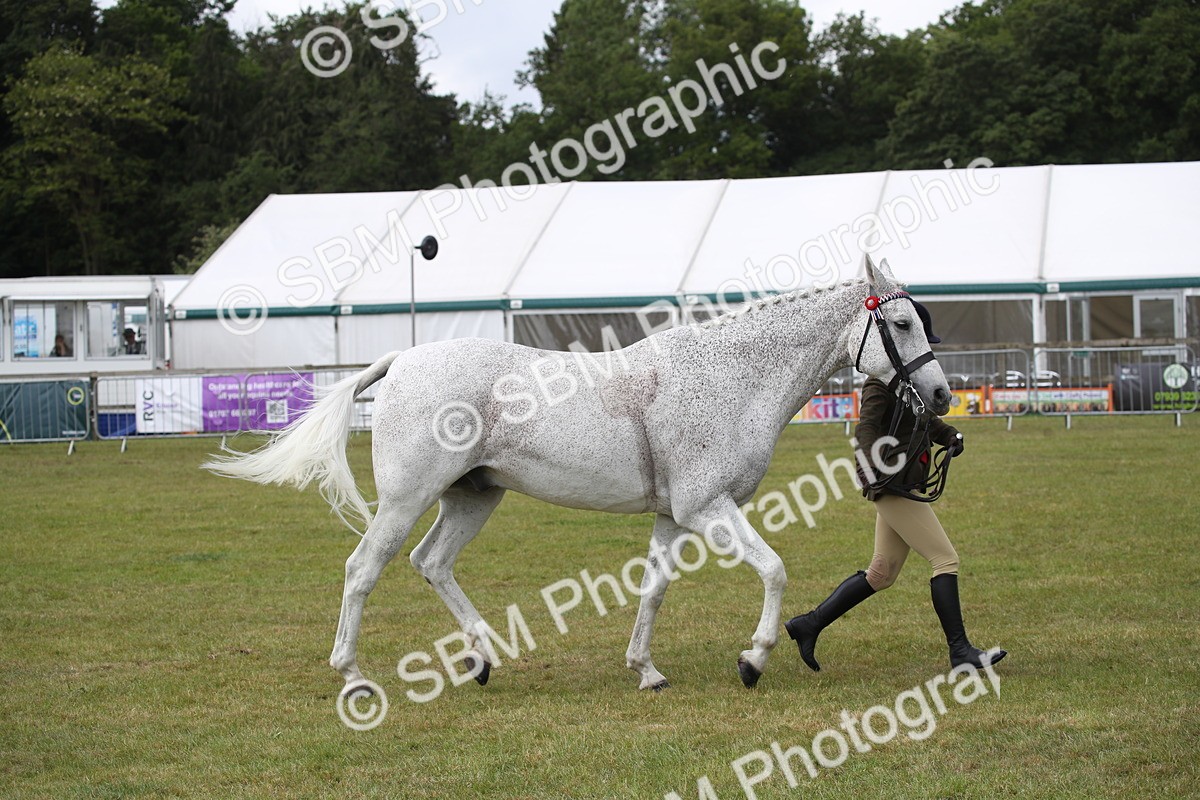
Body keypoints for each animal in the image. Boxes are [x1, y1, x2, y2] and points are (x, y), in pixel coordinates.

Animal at [204, 257, 952, 696]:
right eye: (901, 322)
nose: (942, 395)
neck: (732, 376)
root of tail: (403, 360)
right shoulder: (707, 507)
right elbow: (772, 570)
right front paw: (754, 659)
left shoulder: (674, 517)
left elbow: (654, 590)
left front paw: (646, 670)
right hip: (406, 499)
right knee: (364, 570)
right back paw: (354, 677)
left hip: (473, 499)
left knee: (431, 563)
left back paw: (482, 660)